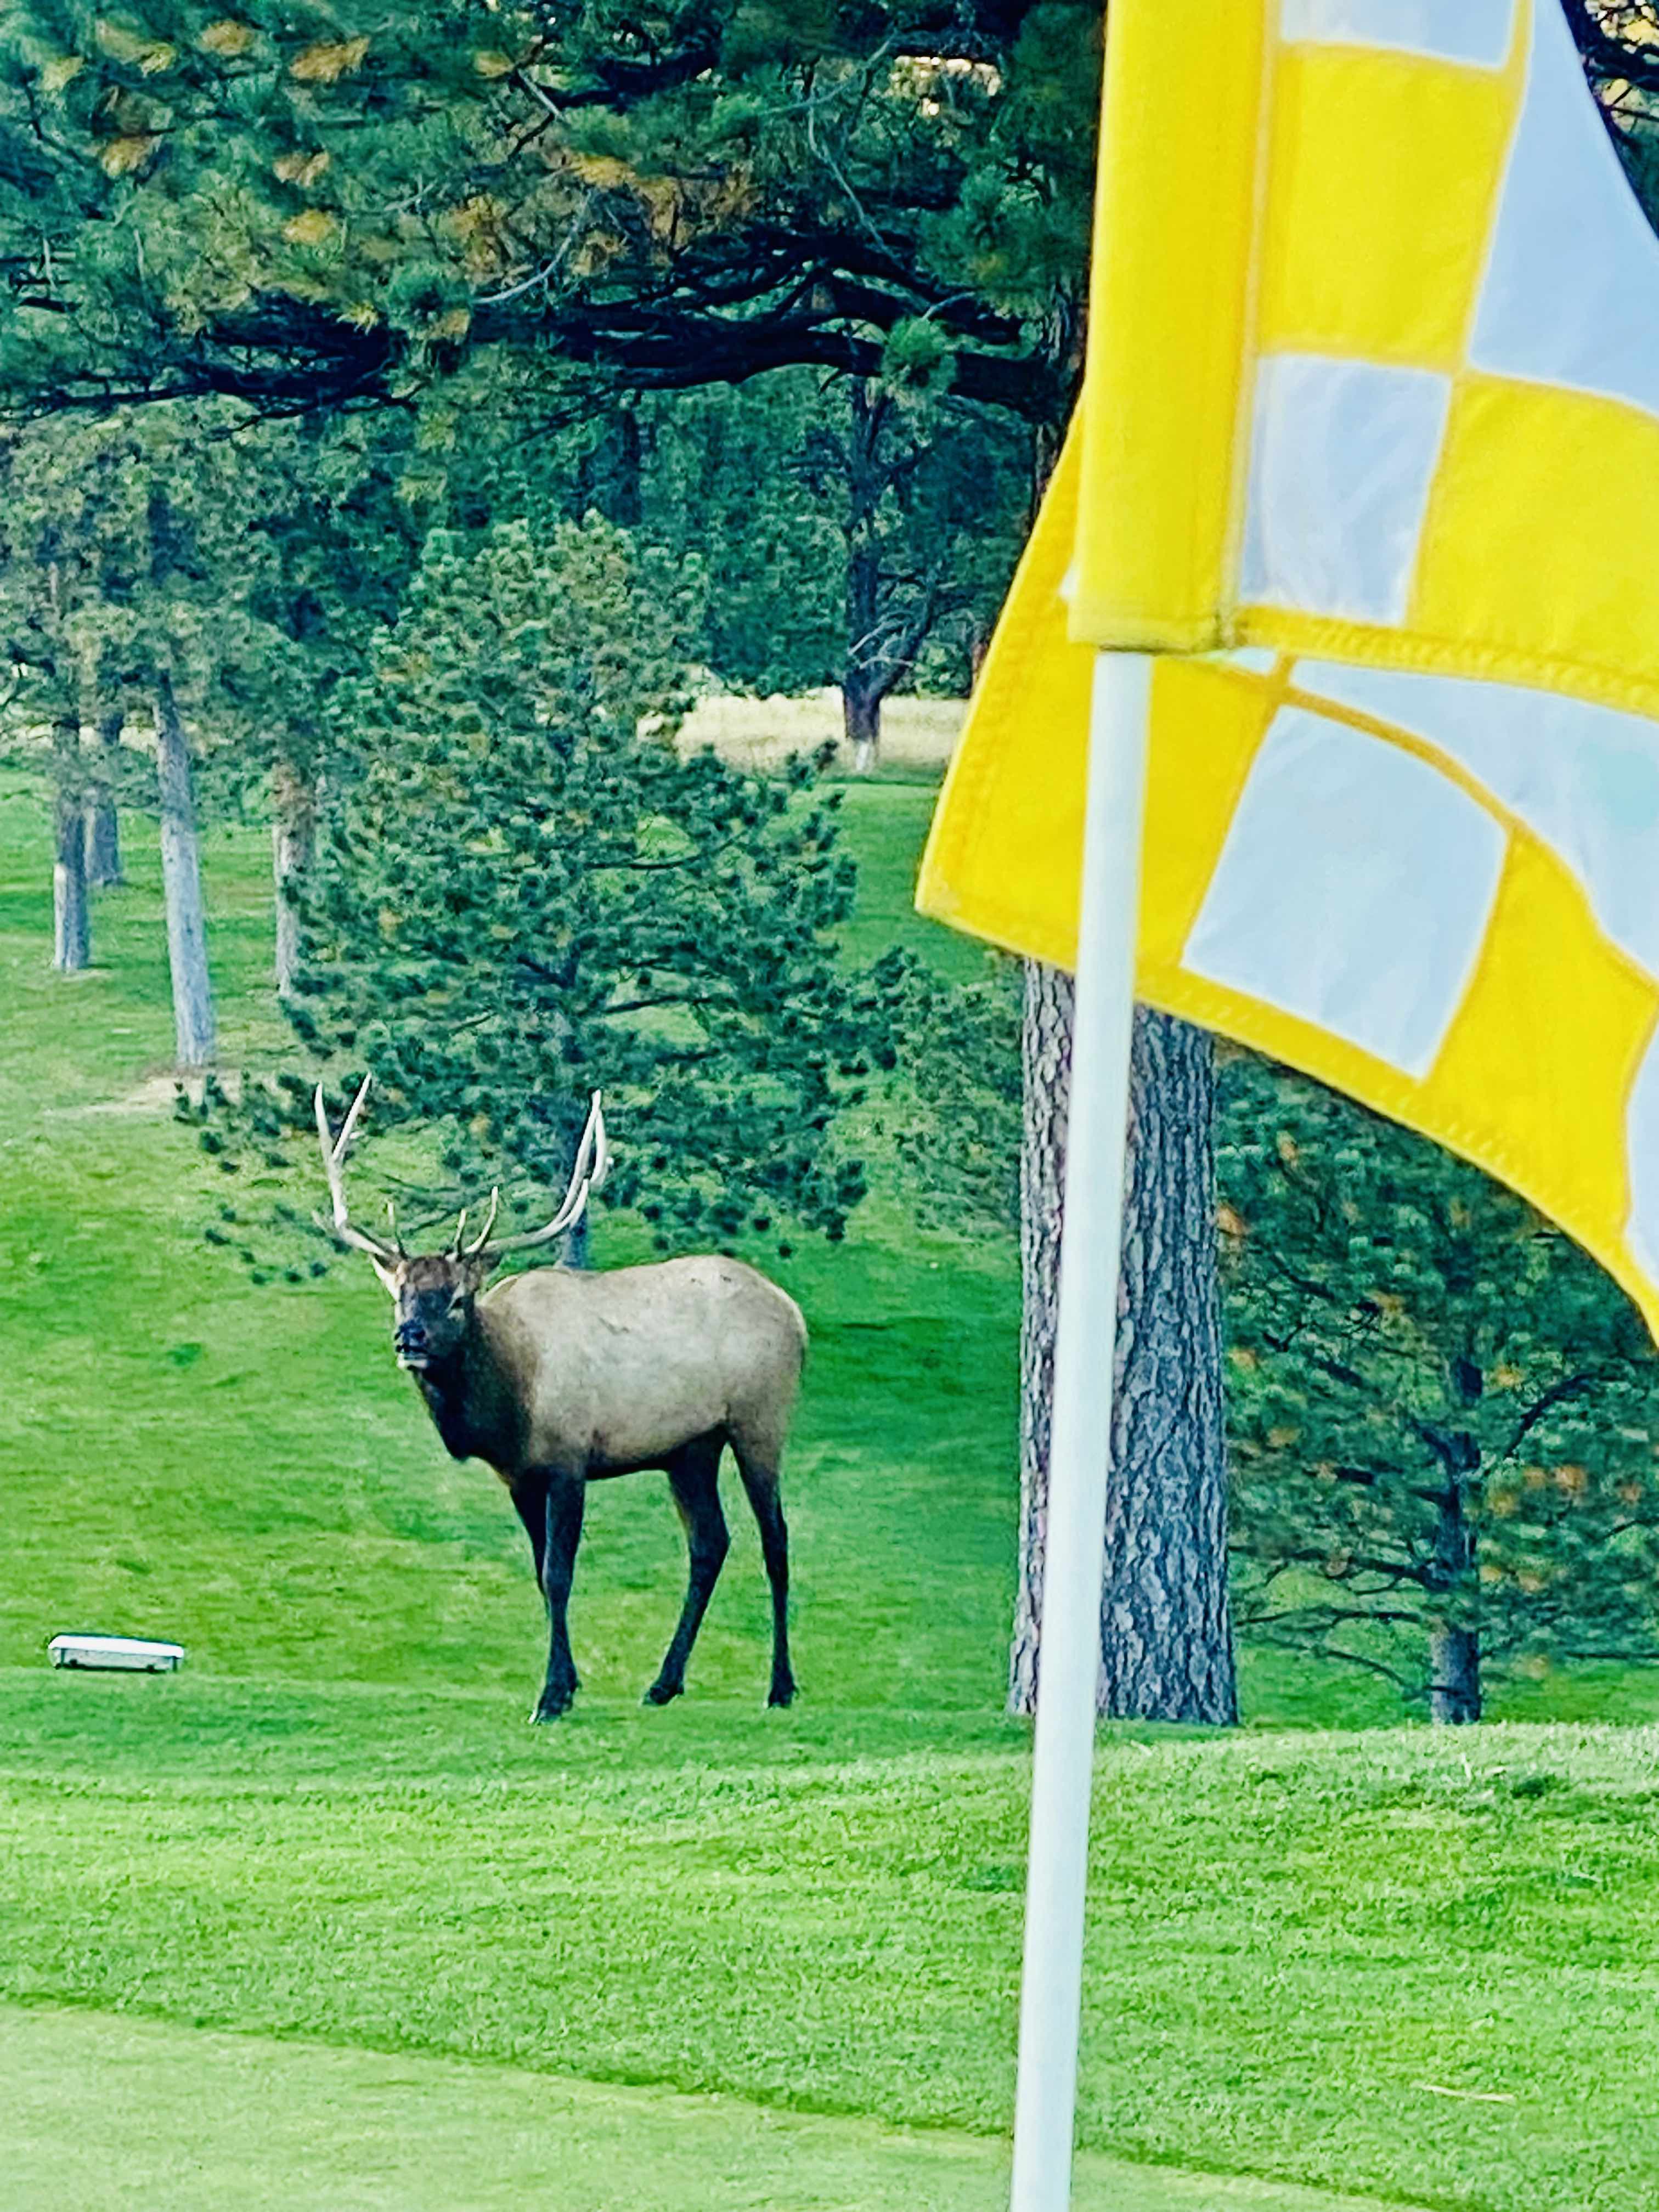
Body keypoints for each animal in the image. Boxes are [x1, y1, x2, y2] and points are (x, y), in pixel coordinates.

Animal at [315, 1076, 805, 1722]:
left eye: (457, 1299)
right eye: (401, 1294)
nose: (409, 1339)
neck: (510, 1402)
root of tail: (796, 1316)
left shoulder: (570, 1460)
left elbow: (559, 1573)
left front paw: (551, 1695)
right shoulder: (519, 1477)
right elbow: (538, 1574)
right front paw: (568, 1684)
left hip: (760, 1420)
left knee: (776, 1540)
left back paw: (781, 1686)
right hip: (689, 1449)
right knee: (710, 1543)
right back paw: (664, 1682)